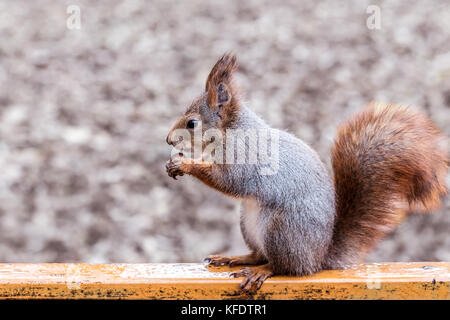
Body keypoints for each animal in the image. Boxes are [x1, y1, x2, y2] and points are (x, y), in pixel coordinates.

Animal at [164, 53, 446, 296]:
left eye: (192, 123)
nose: (168, 140)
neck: (231, 131)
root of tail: (318, 258)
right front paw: (175, 162)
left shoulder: (244, 156)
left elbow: (229, 181)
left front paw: (185, 164)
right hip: (248, 222)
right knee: (259, 255)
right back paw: (235, 258)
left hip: (282, 229)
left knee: (285, 267)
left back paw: (262, 271)